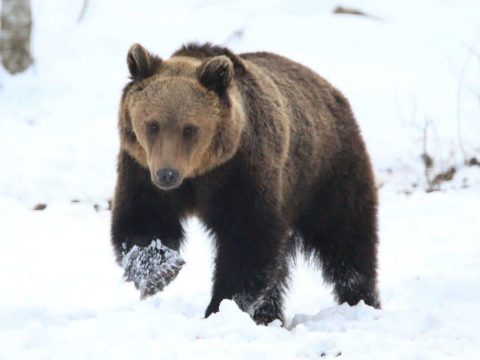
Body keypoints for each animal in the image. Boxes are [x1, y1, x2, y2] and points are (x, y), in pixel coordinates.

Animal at [110, 43, 380, 326]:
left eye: (189, 128)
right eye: (152, 125)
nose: (167, 174)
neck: (200, 173)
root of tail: (329, 89)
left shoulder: (241, 173)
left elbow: (247, 239)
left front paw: (221, 306)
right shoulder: (141, 170)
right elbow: (143, 220)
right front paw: (159, 273)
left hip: (324, 173)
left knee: (347, 240)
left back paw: (362, 301)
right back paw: (269, 315)